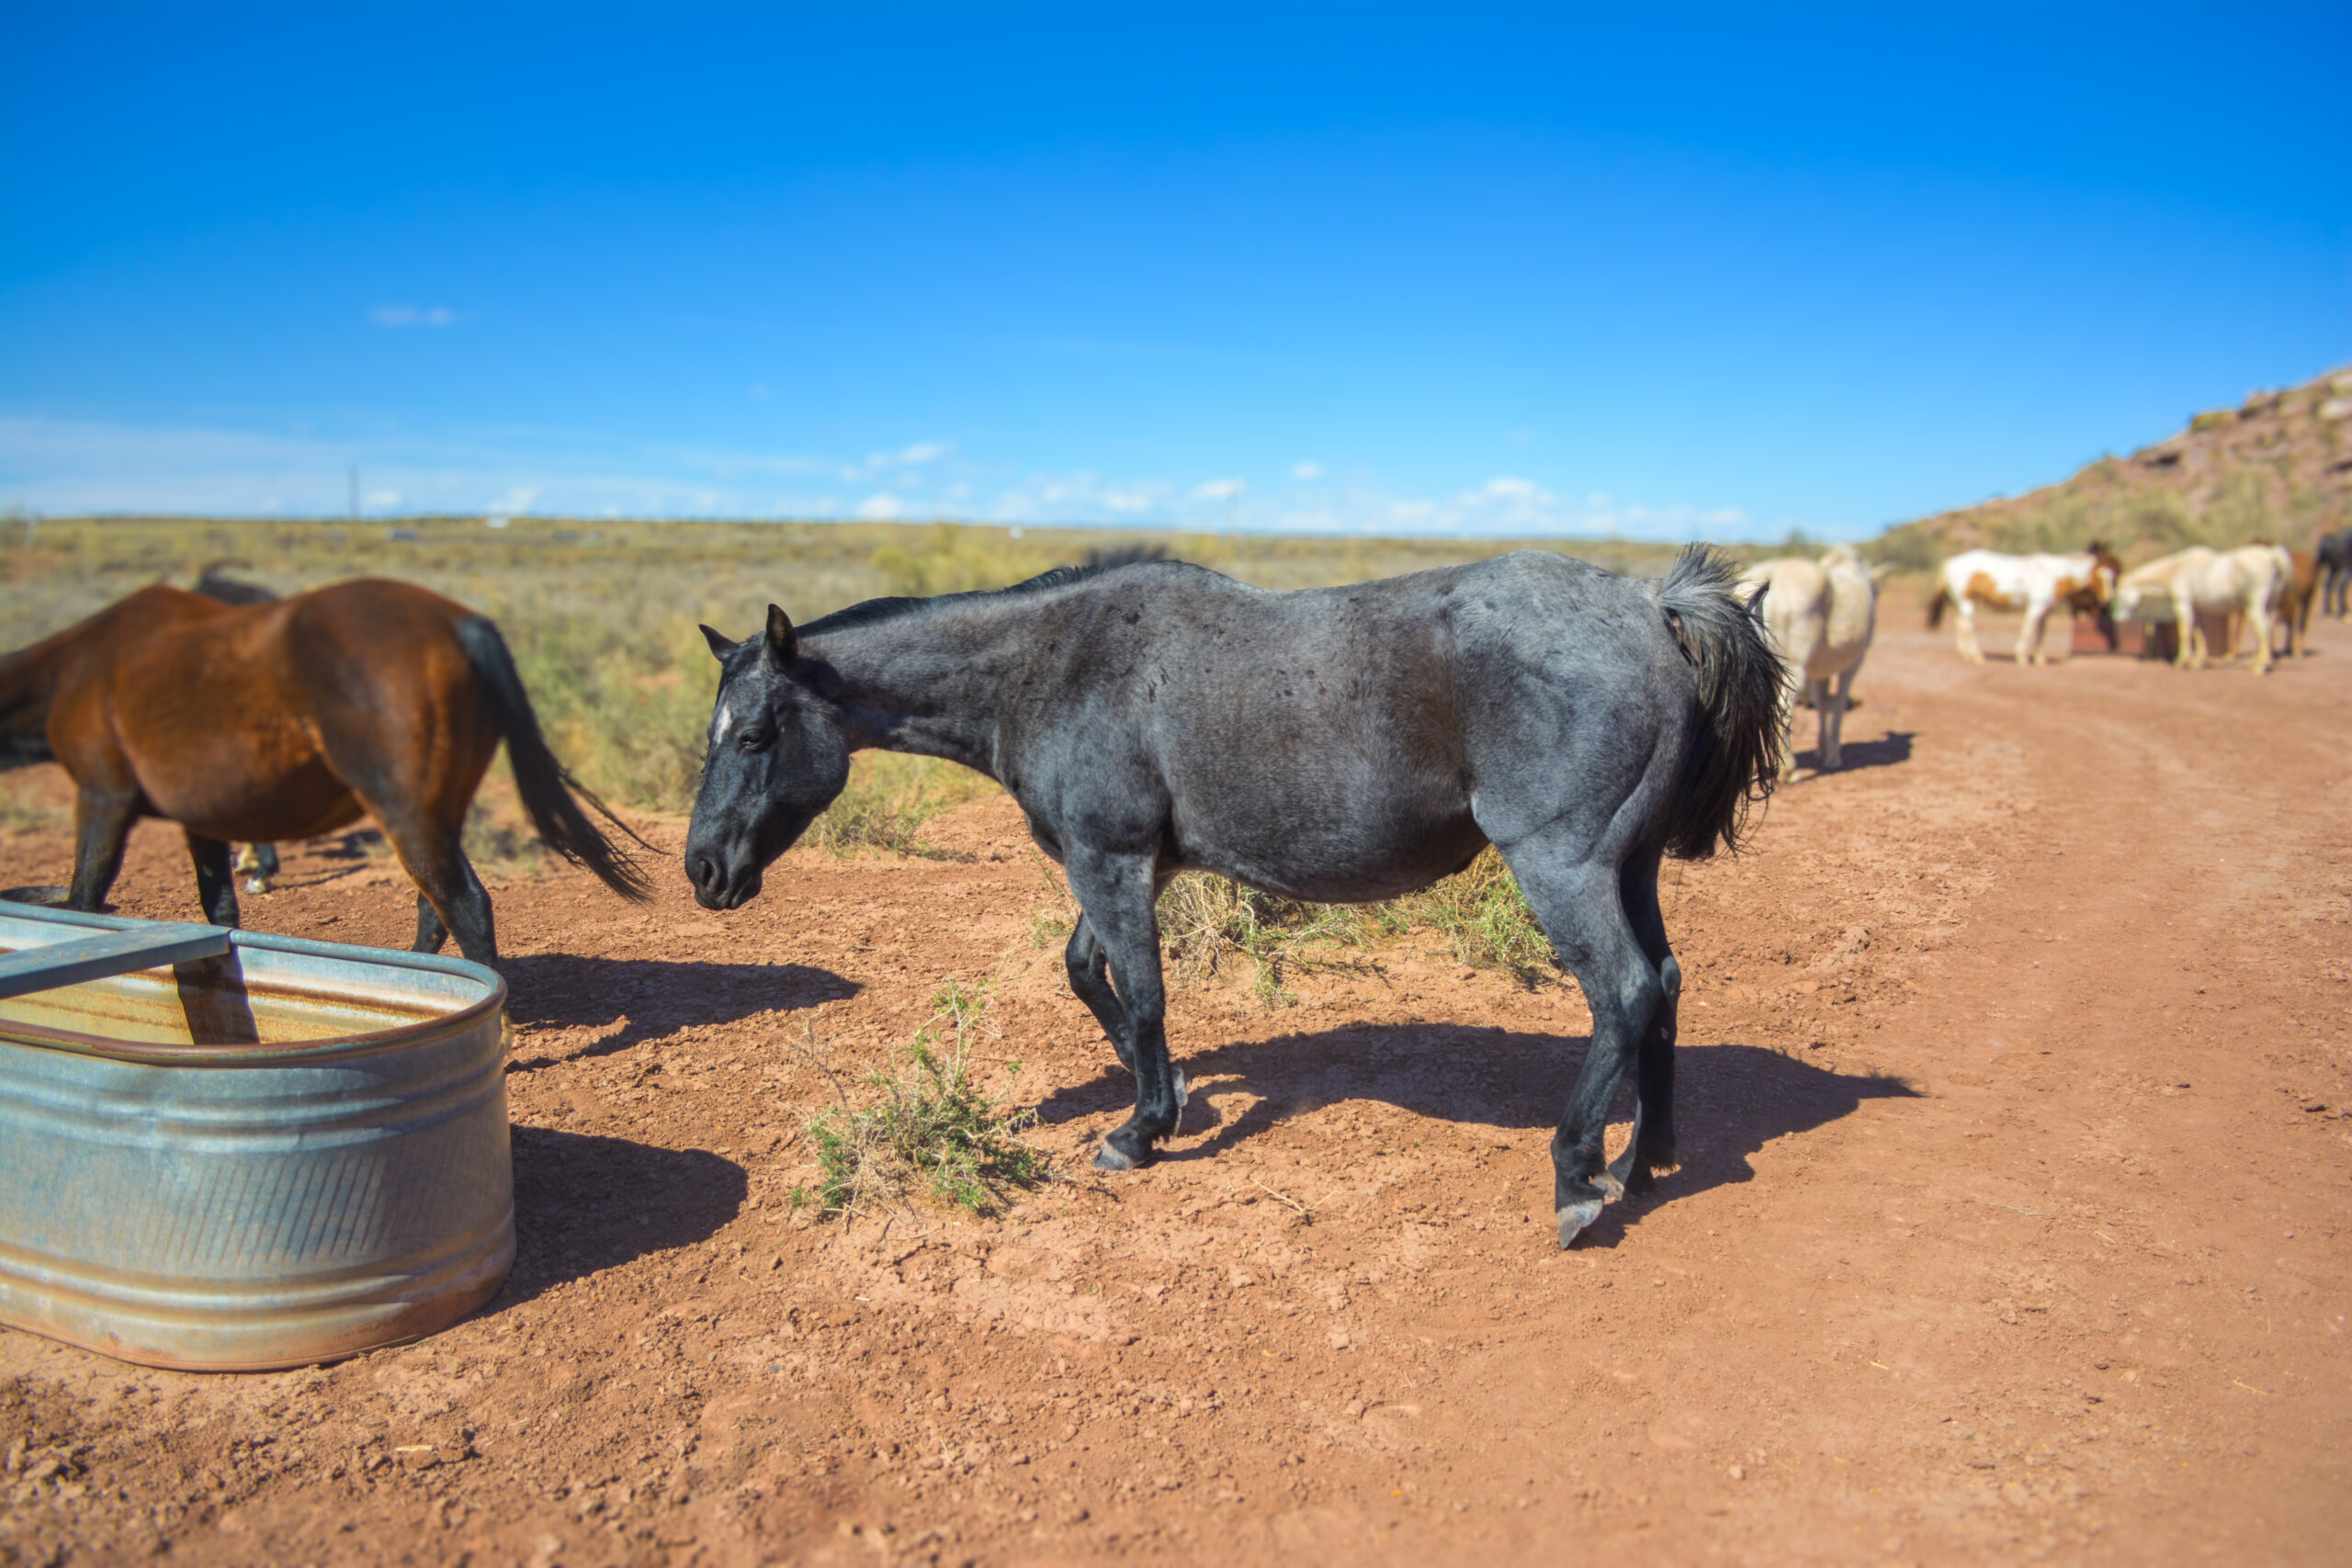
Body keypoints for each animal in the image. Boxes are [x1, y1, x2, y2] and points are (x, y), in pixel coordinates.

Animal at [0, 578, 648, 962]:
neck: (75, 667)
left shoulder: (103, 798)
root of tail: (460, 625)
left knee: (466, 906)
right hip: (435, 816)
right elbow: (219, 909)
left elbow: (85, 896)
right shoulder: (200, 821)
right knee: (435, 906)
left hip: (407, 816)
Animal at [683, 546, 1782, 1248]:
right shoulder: (1126, 865)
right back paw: (1644, 1157)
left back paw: (1575, 1175)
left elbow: (1143, 994)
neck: (1050, 662)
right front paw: (1171, 1101)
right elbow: (1090, 977)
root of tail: (1650, 609)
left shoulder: (1111, 860)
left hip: (1565, 866)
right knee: (1664, 985)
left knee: (1624, 993)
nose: (702, 870)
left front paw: (1137, 1131)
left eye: (755, 734)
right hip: (1629, 867)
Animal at [1738, 545, 1883, 778]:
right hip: (1792, 665)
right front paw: (1833, 755)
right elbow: (1839, 704)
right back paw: (1788, 770)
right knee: (1782, 708)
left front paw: (1822, 749)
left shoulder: (1820, 671)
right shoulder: (1853, 664)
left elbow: (1822, 702)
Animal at [1926, 545, 2122, 665]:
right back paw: (1977, 656)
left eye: (2113, 576)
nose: (2107, 599)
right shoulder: (2036, 605)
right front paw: (2022, 657)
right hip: (1966, 600)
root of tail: (1951, 561)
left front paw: (2039, 659)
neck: (2056, 574)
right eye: (2102, 575)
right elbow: (2028, 629)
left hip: (1963, 601)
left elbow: (2041, 633)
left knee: (1961, 624)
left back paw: (1966, 653)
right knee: (1968, 626)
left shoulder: (2046, 610)